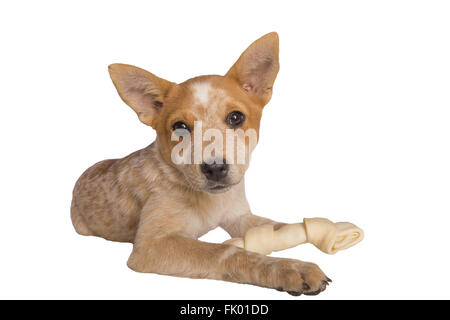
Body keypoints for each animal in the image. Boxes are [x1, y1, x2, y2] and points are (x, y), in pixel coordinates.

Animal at [70, 31, 330, 296]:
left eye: (235, 117)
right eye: (180, 127)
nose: (215, 168)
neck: (210, 201)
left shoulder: (239, 216)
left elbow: (277, 227)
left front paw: (315, 231)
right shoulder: (152, 245)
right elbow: (225, 251)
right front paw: (289, 268)